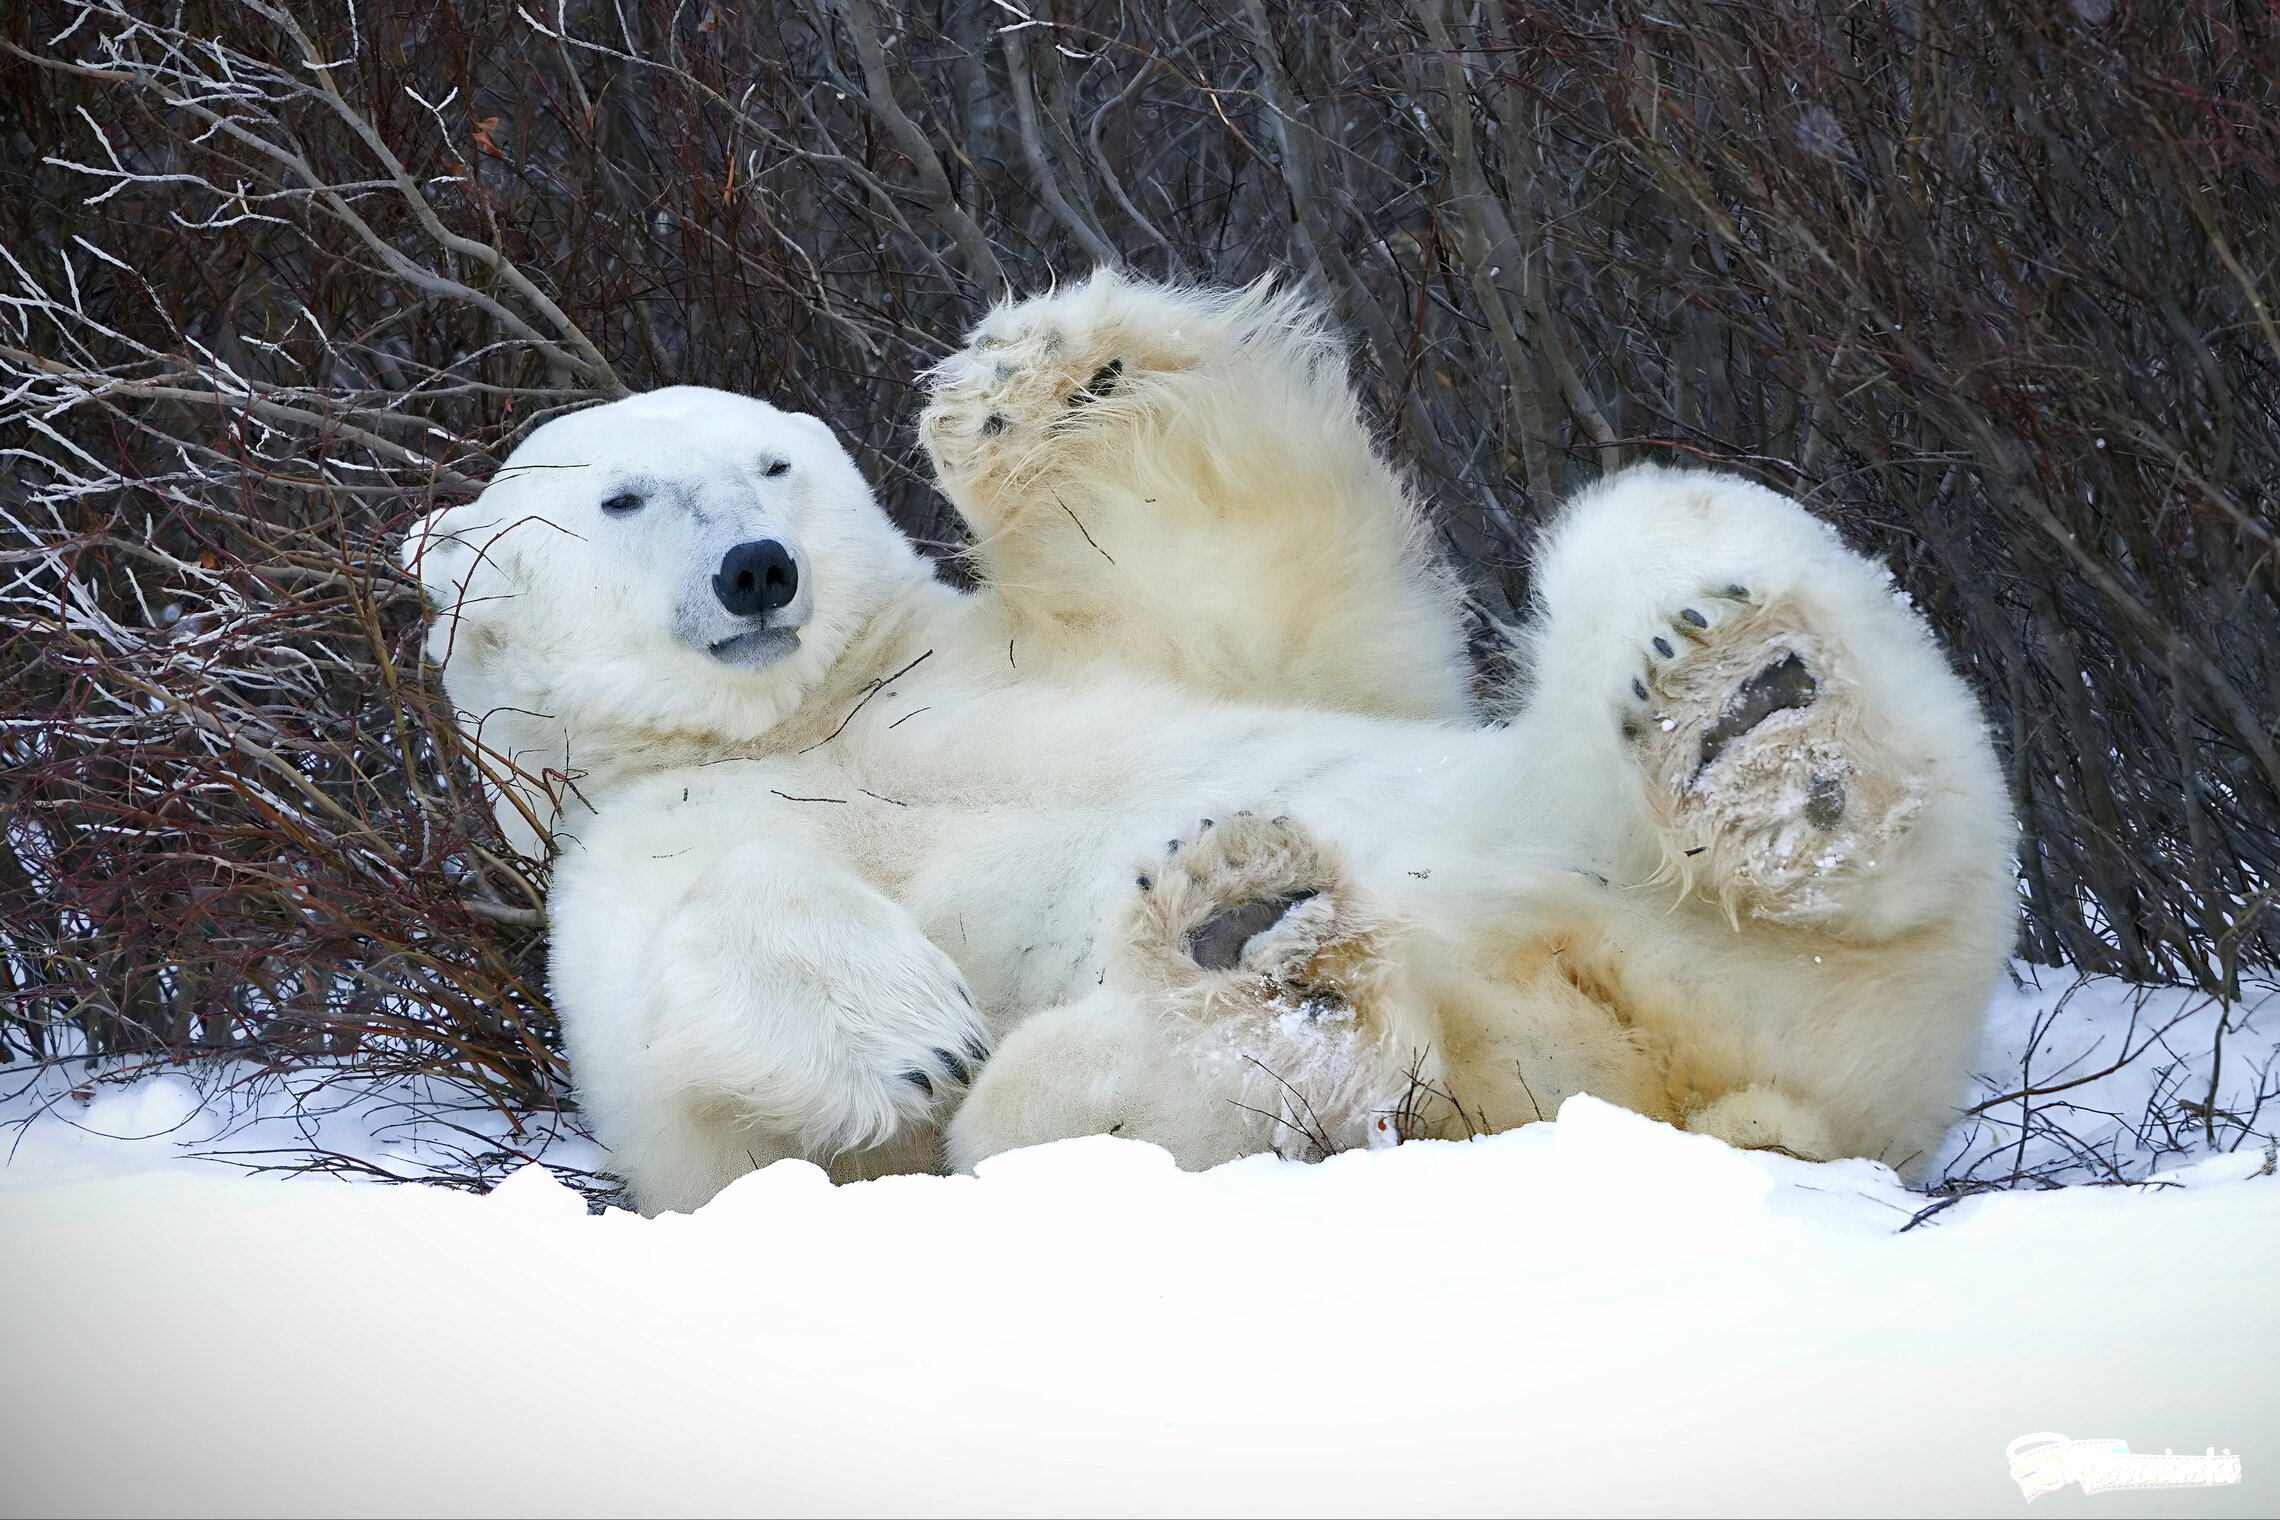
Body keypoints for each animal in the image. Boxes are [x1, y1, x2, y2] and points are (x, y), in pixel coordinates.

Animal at [405, 270, 2015, 1212]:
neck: (821, 713)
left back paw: (1760, 714)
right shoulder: (624, 851)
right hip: (1530, 1040)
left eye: (772, 464)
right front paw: (906, 1028)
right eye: (622, 497)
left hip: (1619, 852)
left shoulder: (1064, 656)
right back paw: (1261, 953)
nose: (757, 570)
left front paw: (1044, 377)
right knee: (1086, 1107)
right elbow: (723, 1091)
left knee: (1665, 547)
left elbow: (1242, 581)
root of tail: (1718, 1099)